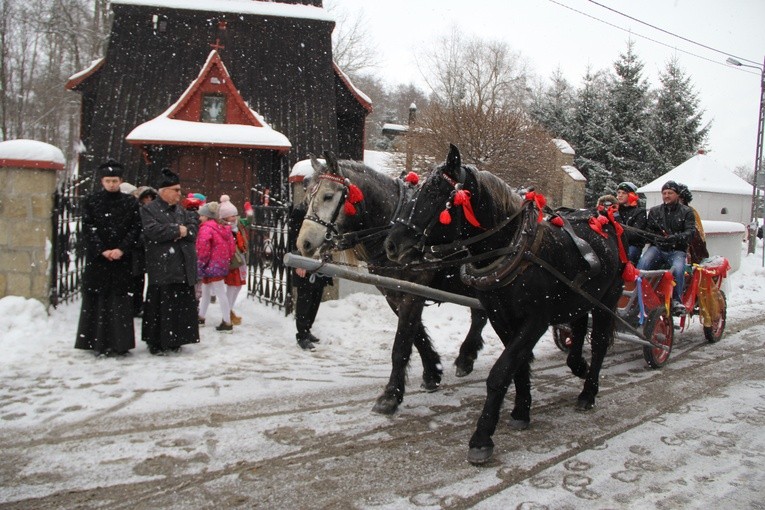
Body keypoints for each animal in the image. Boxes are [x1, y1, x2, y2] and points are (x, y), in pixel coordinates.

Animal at [296, 151, 490, 414]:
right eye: (308, 196)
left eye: (328, 196)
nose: (303, 243)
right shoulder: (393, 294)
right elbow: (416, 336)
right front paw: (432, 372)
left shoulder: (413, 293)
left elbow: (401, 345)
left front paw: (390, 396)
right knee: (479, 316)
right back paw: (466, 357)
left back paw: (466, 355)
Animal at [384, 145, 624, 464]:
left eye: (435, 192)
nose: (391, 245)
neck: (514, 248)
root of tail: (603, 219)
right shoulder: (501, 316)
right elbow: (518, 365)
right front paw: (522, 409)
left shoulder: (536, 319)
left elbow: (502, 371)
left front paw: (482, 437)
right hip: (578, 299)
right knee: (578, 327)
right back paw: (578, 365)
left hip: (606, 300)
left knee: (598, 344)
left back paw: (588, 392)